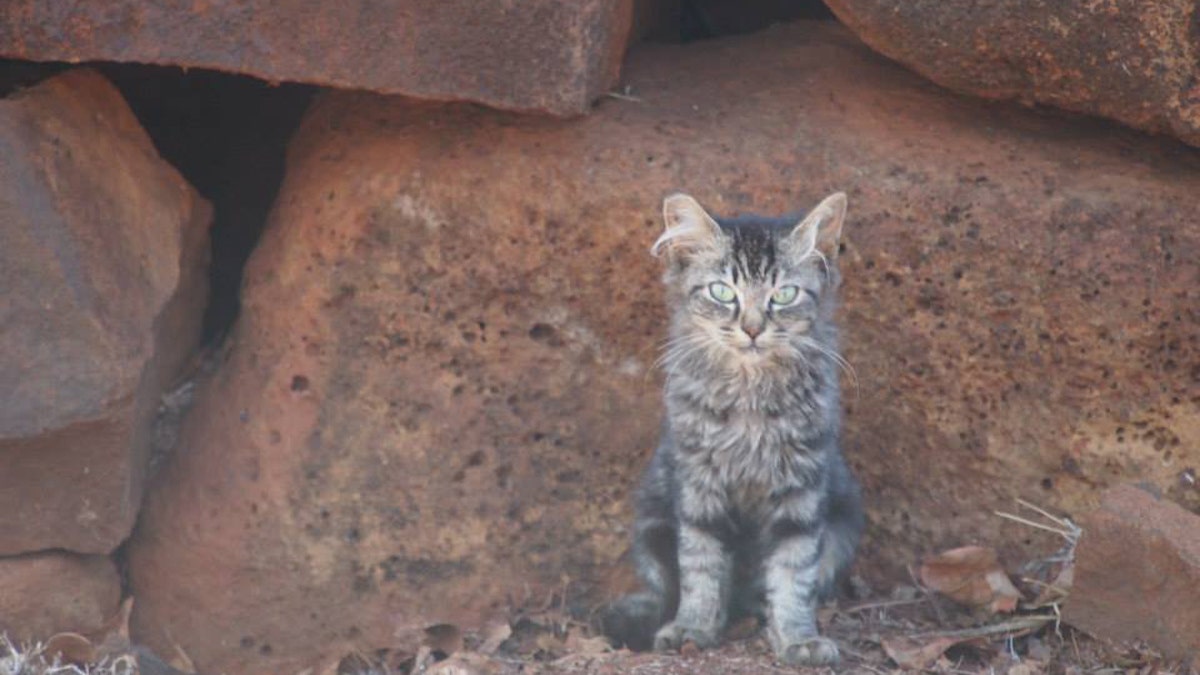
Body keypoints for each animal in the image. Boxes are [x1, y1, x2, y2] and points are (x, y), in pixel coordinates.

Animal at [600, 190, 864, 662]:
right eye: (722, 292)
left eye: (784, 295)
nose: (753, 329)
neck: (750, 395)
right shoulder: (699, 486)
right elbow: (701, 568)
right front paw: (693, 627)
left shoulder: (802, 488)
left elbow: (793, 572)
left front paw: (797, 637)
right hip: (651, 524)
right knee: (664, 589)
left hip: (843, 524)